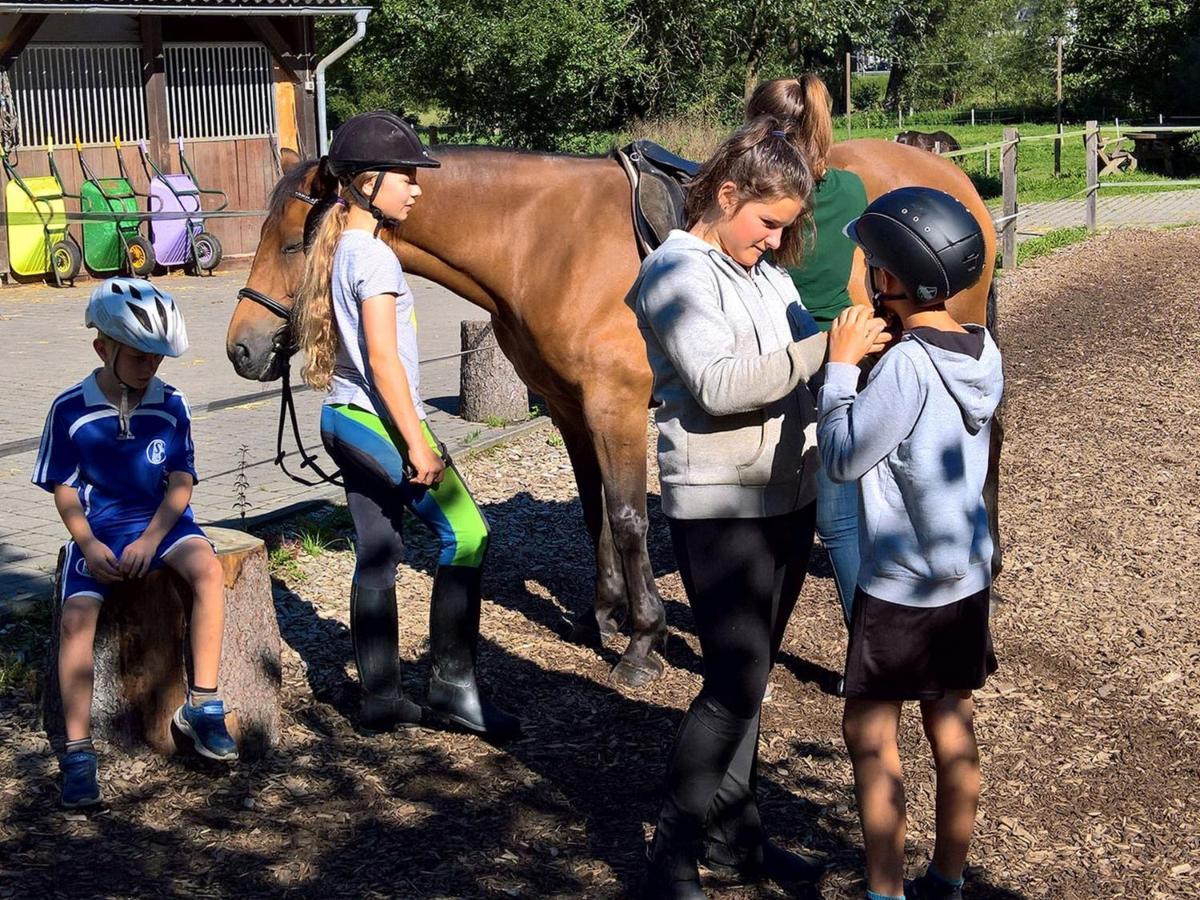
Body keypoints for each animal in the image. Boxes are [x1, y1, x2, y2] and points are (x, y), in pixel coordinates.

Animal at [229, 139, 998, 691]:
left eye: (295, 241)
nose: (242, 347)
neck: (544, 242)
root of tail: (949, 174)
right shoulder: (572, 410)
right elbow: (593, 509)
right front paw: (602, 615)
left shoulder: (618, 406)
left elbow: (628, 518)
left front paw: (642, 642)